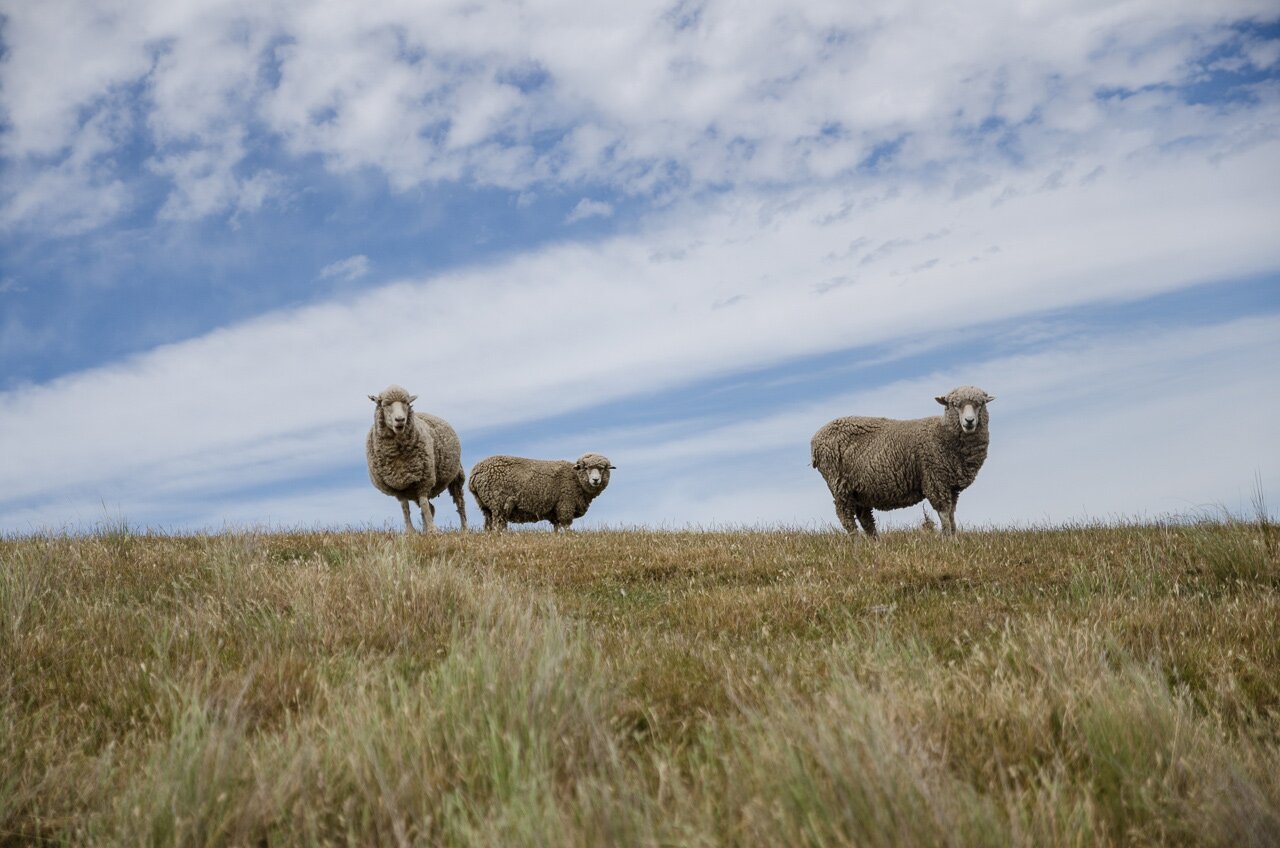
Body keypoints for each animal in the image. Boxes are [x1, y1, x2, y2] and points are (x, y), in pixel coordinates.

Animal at [363, 386, 468, 535]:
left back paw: (464, 529)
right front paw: (411, 532)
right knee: (432, 507)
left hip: (456, 477)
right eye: (385, 405)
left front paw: (433, 530)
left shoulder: (424, 480)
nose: (400, 419)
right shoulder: (398, 486)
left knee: (459, 503)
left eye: (406, 403)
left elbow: (424, 505)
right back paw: (424, 530)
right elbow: (405, 508)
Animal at [471, 450, 614, 532]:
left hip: (486, 506)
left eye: (602, 468)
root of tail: (475, 473)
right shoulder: (565, 505)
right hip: (498, 503)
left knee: (488, 526)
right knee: (498, 525)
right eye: (586, 468)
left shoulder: (556, 511)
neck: (576, 479)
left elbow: (557, 528)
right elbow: (566, 526)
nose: (595, 480)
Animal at [808, 386, 998, 538]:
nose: (969, 421)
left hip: (859, 489)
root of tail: (816, 439)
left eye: (980, 404)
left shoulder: (950, 486)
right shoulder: (935, 479)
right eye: (954, 404)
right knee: (846, 517)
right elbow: (944, 514)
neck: (943, 434)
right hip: (839, 484)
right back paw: (857, 542)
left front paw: (954, 538)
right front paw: (948, 541)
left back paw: (875, 543)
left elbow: (951, 515)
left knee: (865, 518)